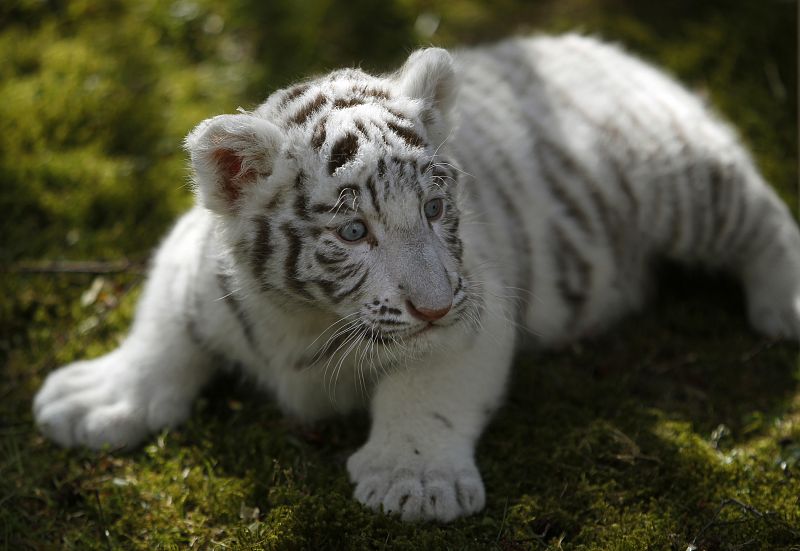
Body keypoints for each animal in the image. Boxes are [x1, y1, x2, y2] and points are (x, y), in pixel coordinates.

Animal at [33, 34, 800, 522]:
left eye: (433, 209)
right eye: (353, 233)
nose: (433, 306)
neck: (304, 321)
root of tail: (609, 51)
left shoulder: (474, 304)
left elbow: (426, 388)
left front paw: (415, 480)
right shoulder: (190, 260)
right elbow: (162, 331)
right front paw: (97, 398)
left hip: (684, 176)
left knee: (764, 215)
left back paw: (785, 304)